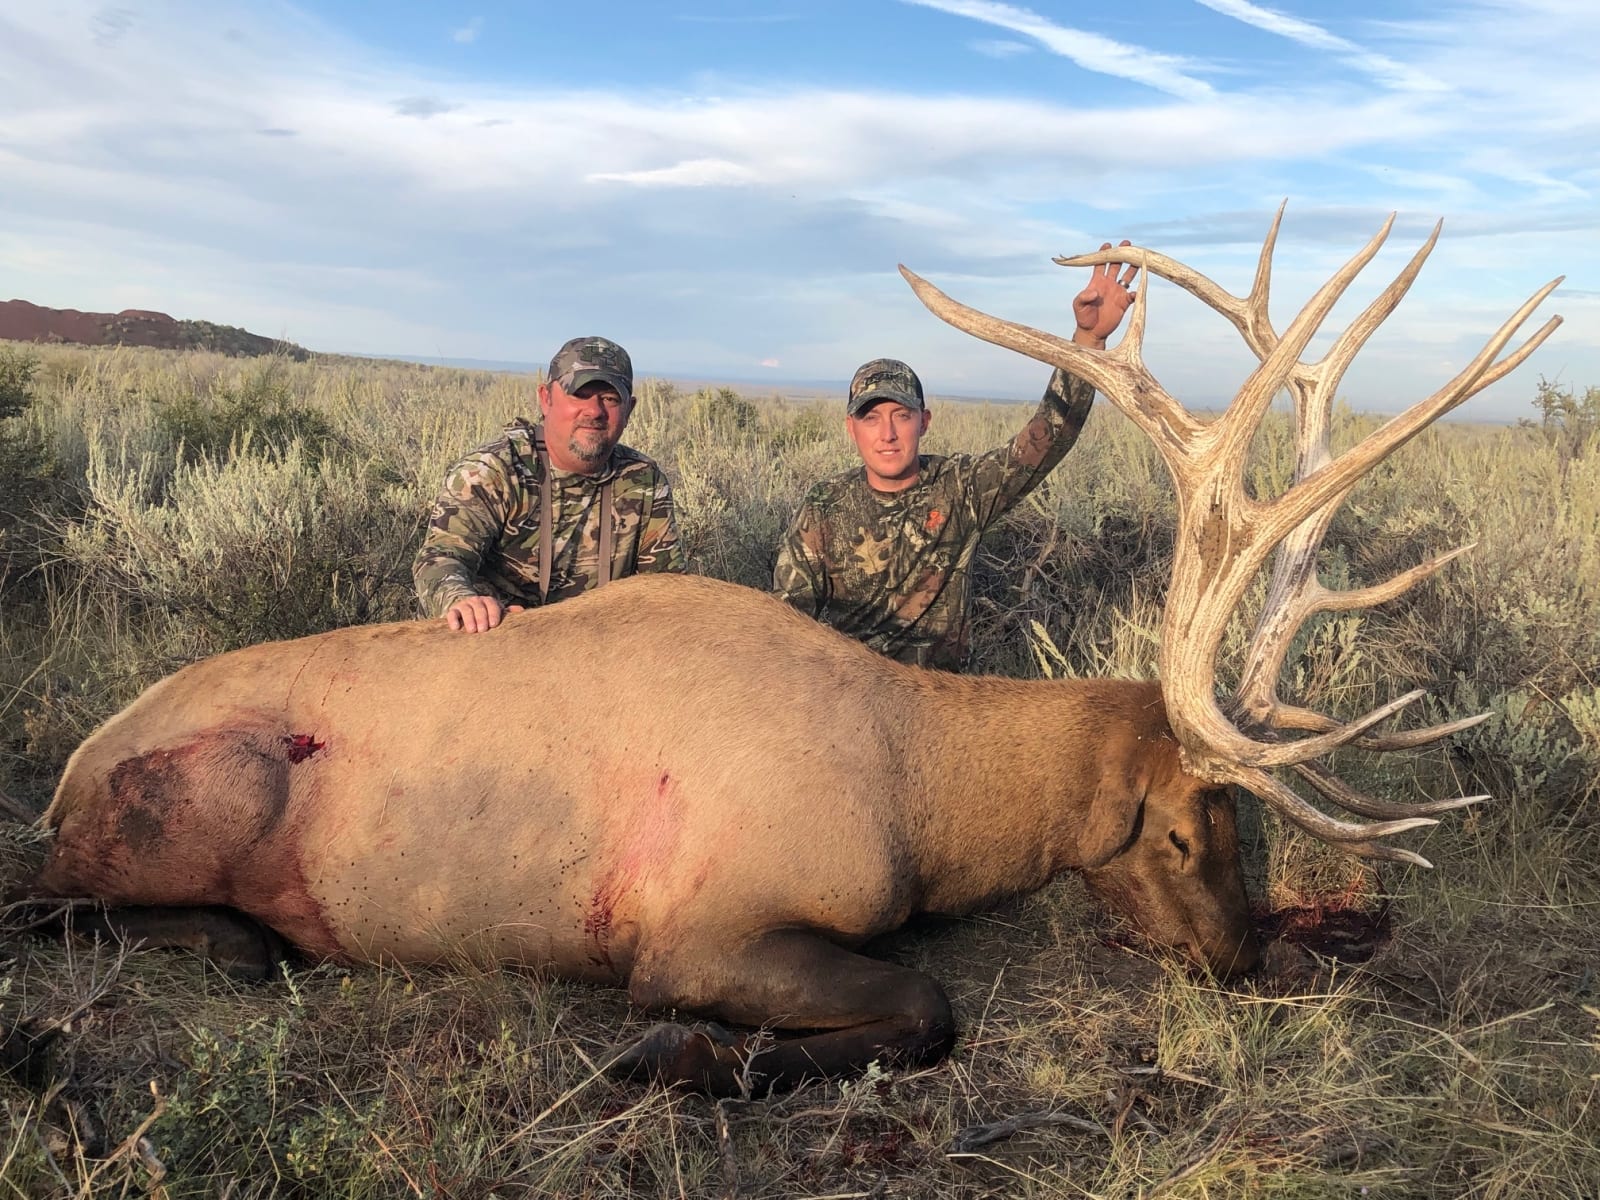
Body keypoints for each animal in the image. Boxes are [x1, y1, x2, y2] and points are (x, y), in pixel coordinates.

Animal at [15, 209, 1559, 1096]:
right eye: (1184, 831)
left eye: (1247, 829)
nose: (1242, 960)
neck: (925, 795)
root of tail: (69, 773)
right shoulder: (700, 928)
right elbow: (924, 1005)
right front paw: (684, 1055)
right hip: (210, 793)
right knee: (57, 905)